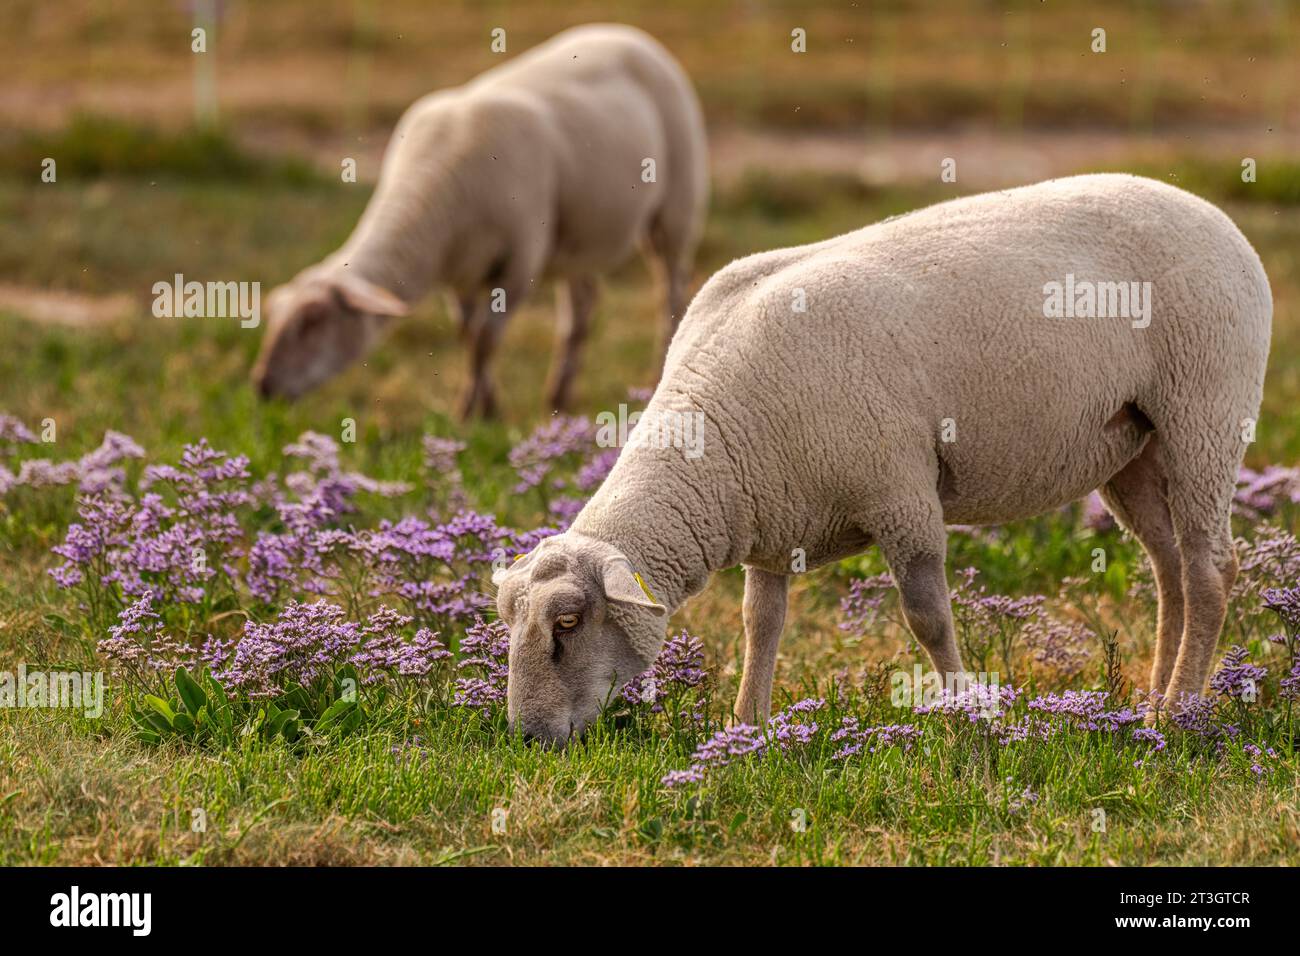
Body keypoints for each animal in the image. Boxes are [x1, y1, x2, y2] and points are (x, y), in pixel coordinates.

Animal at [248, 21, 707, 418]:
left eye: (313, 322)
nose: (262, 386)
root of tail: (627, 32)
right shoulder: (462, 271)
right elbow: (469, 336)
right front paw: (475, 405)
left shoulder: (520, 262)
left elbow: (486, 340)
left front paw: (481, 413)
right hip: (579, 236)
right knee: (581, 310)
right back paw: (558, 397)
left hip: (677, 207)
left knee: (670, 291)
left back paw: (654, 378)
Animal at [493, 171, 1268, 743]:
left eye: (567, 625)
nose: (530, 740)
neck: (719, 446)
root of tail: (1217, 217)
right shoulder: (775, 521)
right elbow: (760, 623)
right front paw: (747, 729)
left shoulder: (901, 494)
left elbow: (928, 618)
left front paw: (967, 711)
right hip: (1133, 443)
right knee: (1169, 568)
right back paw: (1153, 703)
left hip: (1206, 406)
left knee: (1210, 568)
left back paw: (1182, 710)